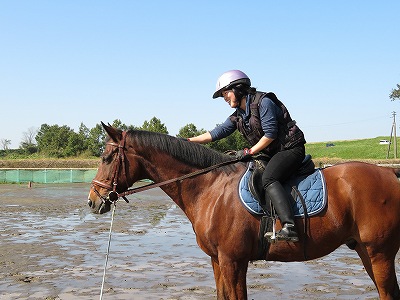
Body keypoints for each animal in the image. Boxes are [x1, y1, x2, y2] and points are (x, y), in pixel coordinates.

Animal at [88, 123, 400, 298]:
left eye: (107, 157)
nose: (93, 200)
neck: (210, 187)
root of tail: (390, 174)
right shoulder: (218, 261)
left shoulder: (233, 261)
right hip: (366, 251)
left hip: (379, 253)